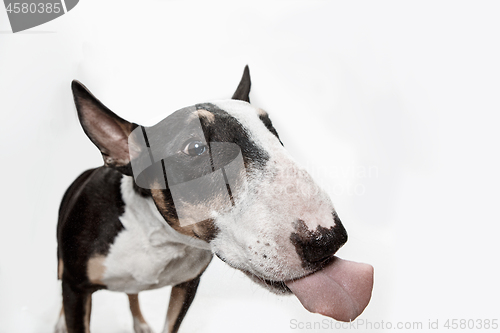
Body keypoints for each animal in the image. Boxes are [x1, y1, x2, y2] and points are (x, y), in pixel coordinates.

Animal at [56, 67, 374, 332]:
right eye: (195, 148)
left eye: (272, 131)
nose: (328, 240)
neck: (159, 240)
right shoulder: (75, 287)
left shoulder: (187, 285)